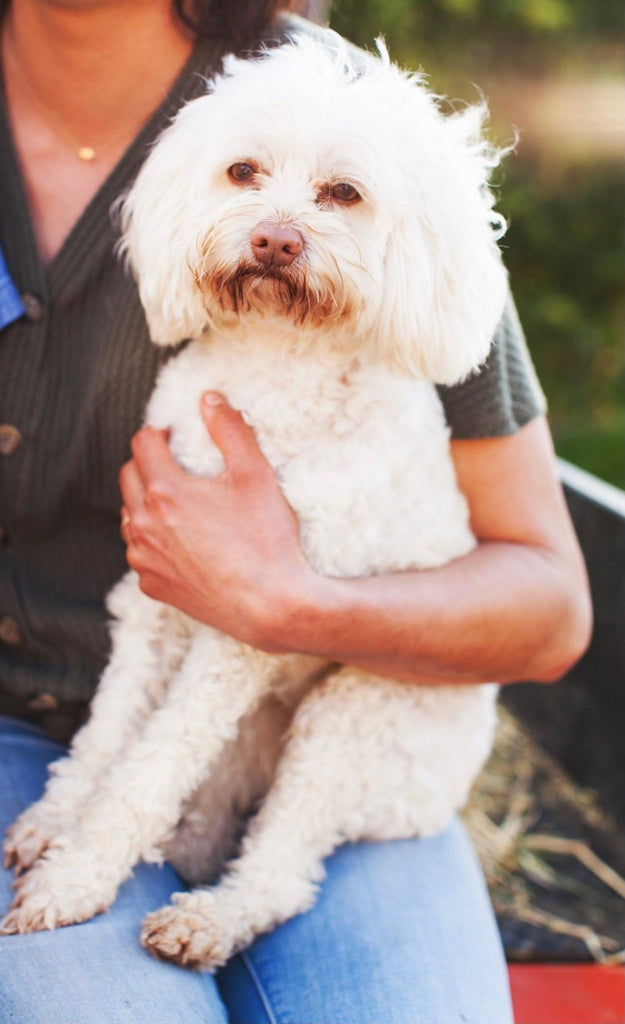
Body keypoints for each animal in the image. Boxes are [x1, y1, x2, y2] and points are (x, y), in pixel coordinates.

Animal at [1, 34, 506, 966]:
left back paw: (206, 919)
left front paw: (73, 881)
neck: (274, 371)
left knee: (281, 872)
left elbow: (150, 767)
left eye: (343, 192)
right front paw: (55, 821)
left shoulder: (239, 628)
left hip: (353, 719)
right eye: (242, 171)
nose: (273, 239)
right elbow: (108, 734)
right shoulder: (154, 603)